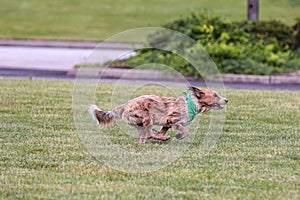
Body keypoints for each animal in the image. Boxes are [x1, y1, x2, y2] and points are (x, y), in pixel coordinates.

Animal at [88, 86, 227, 144]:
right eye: (215, 95)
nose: (227, 100)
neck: (192, 104)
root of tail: (125, 105)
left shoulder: (167, 124)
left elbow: (163, 129)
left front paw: (160, 134)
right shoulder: (173, 119)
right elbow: (185, 131)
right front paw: (179, 136)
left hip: (140, 124)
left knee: (143, 136)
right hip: (146, 117)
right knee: (149, 134)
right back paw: (162, 138)